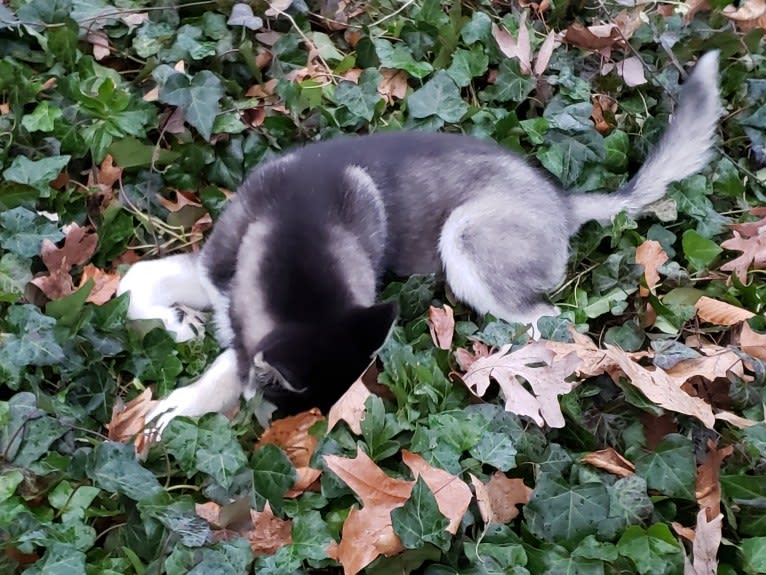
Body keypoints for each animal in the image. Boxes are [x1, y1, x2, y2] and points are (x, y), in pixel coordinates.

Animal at [117, 53, 724, 432]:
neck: (298, 228)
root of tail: (563, 201)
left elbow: (229, 364)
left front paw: (182, 405)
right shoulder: (215, 271)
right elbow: (135, 281)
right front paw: (176, 323)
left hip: (465, 238)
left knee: (551, 325)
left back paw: (502, 364)